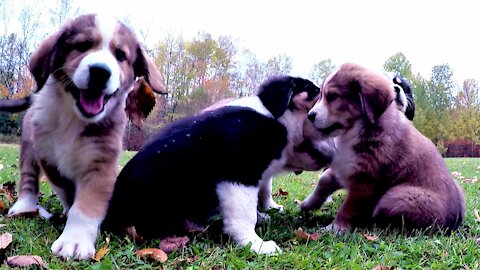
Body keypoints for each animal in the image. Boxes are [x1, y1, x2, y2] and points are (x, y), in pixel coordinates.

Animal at [6, 14, 165, 260]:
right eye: (82, 46)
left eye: (120, 55)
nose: (100, 71)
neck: (75, 119)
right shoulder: (49, 158)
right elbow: (67, 193)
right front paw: (73, 232)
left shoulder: (101, 165)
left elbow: (85, 206)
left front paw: (75, 240)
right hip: (30, 147)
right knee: (28, 177)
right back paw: (25, 205)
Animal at [104, 75, 322, 253]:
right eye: (315, 91)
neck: (274, 117)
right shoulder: (240, 173)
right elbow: (244, 214)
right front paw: (256, 245)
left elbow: (264, 189)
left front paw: (269, 210)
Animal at [304, 63, 464, 232]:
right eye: (321, 95)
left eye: (333, 96)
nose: (310, 116)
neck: (355, 131)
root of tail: (454, 224)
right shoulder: (344, 166)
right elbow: (324, 179)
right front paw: (308, 204)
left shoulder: (364, 182)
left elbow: (348, 208)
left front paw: (335, 228)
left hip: (395, 196)